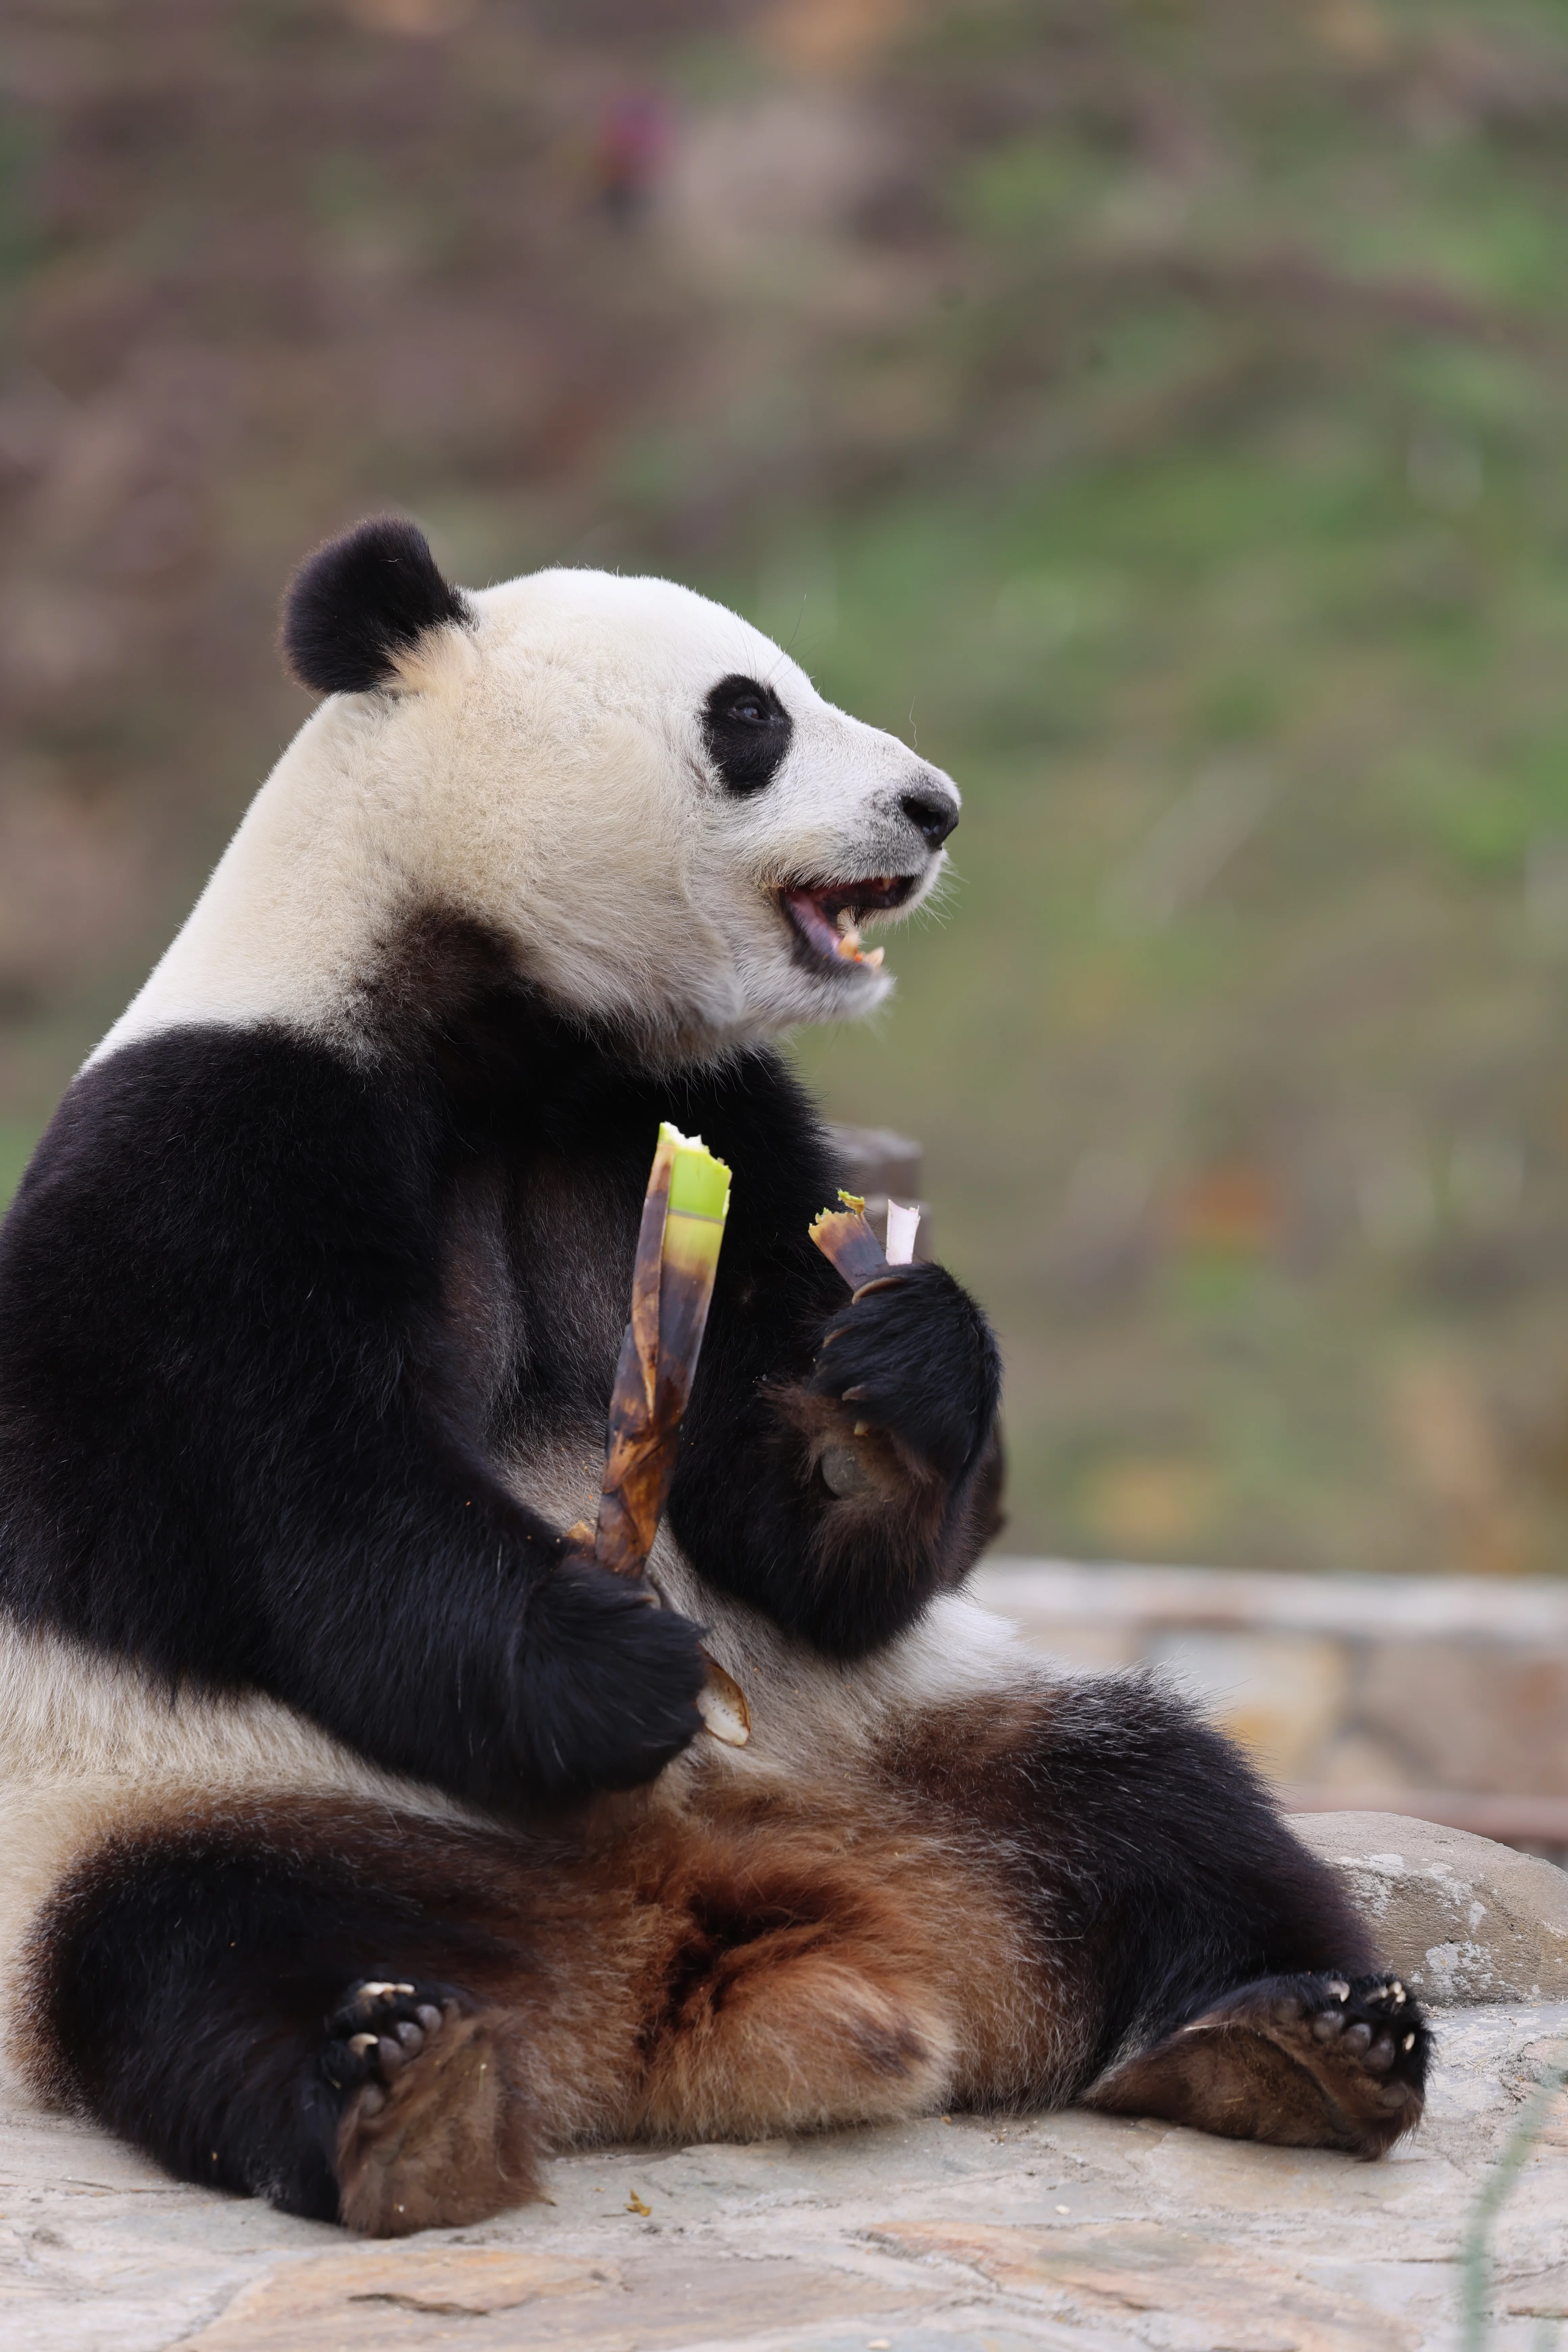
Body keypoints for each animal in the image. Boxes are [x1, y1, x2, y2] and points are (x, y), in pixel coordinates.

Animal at [0, 518, 1428, 2234]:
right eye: (750, 715)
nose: (933, 807)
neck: (501, 1021)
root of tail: (723, 1925)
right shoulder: (216, 1145)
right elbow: (296, 1500)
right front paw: (611, 1663)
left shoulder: (711, 1125)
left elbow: (795, 1522)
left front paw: (883, 1391)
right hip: (185, 1804)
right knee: (193, 1948)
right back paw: (394, 2092)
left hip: (919, 1746)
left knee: (1159, 1798)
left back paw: (1293, 2036)